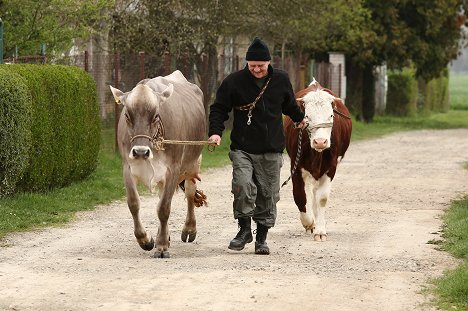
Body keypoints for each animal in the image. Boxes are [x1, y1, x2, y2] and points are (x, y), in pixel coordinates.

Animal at [109, 70, 207, 258]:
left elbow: (164, 208)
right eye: (127, 115)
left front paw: (161, 246)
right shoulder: (127, 167)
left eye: (155, 116)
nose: (140, 152)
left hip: (193, 163)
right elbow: (133, 203)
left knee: (190, 193)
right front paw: (146, 240)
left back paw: (189, 229)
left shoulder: (173, 169)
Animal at [284, 79, 352, 243]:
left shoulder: (331, 167)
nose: (320, 142)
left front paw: (320, 230)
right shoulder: (296, 166)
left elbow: (322, 198)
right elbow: (300, 196)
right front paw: (309, 223)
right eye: (307, 116)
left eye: (331, 115)